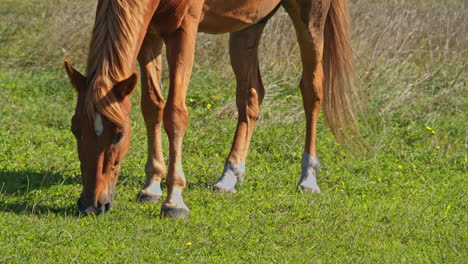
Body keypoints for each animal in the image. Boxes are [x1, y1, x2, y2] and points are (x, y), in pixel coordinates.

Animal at [64, 0, 356, 219]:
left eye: (119, 134)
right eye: (75, 130)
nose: (92, 205)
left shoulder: (184, 30)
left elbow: (175, 113)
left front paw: (174, 201)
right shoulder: (149, 33)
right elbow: (152, 105)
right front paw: (152, 186)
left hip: (310, 18)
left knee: (312, 91)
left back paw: (308, 178)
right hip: (248, 25)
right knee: (250, 97)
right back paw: (229, 177)